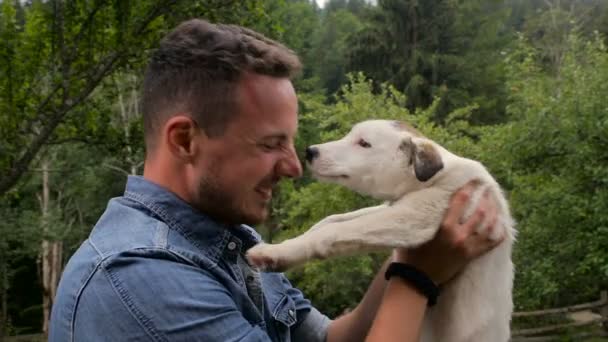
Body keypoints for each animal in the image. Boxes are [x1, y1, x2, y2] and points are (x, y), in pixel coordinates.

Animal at [246, 120, 512, 342]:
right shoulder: (391, 208)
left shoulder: (416, 216)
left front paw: (274, 252)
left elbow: (336, 230)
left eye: (364, 143)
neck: (432, 178)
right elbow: (332, 220)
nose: (310, 151)